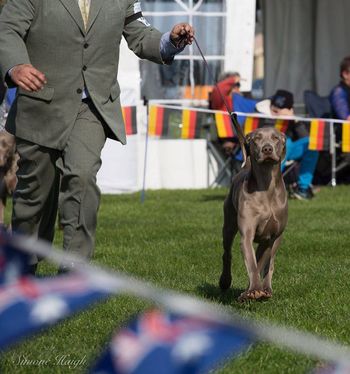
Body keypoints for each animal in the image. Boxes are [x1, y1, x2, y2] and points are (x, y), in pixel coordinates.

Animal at [219, 127, 288, 302]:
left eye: (276, 138)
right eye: (257, 139)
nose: (267, 149)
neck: (266, 187)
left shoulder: (271, 237)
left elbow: (261, 263)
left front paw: (255, 290)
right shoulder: (247, 234)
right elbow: (251, 262)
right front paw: (254, 289)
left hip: (278, 239)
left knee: (270, 263)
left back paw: (267, 288)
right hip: (228, 223)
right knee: (227, 252)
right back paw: (225, 281)